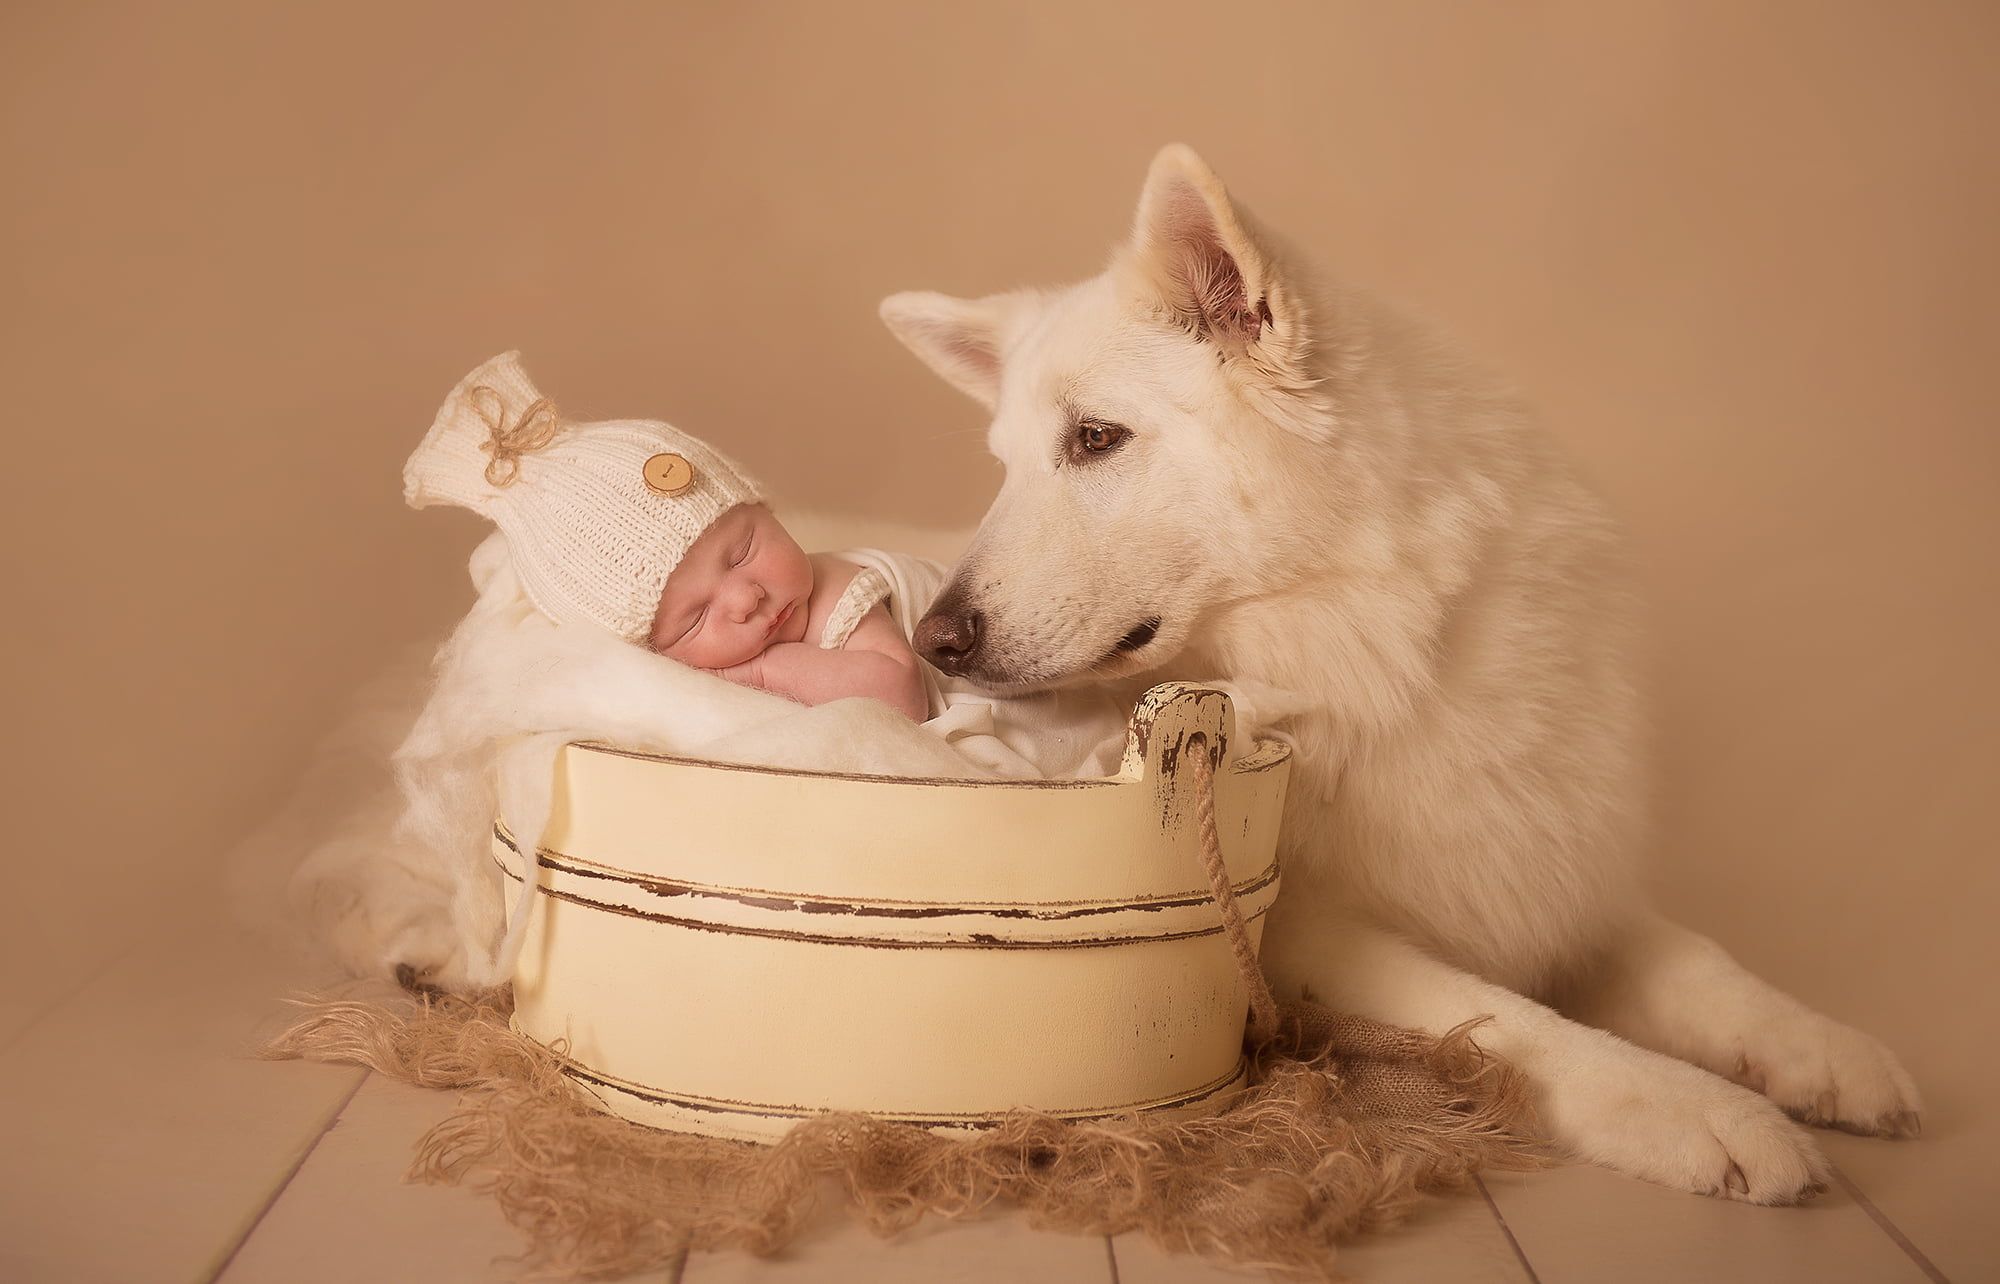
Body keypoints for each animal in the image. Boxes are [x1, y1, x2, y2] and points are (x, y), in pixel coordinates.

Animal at [884, 145, 1912, 1192]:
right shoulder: (1316, 939)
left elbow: (1700, 959)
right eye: (1005, 468)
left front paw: (1820, 1047)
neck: (1381, 653)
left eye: (1094, 438)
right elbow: (1512, 1023)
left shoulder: (1557, 874)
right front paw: (1694, 1105)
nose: (932, 640)